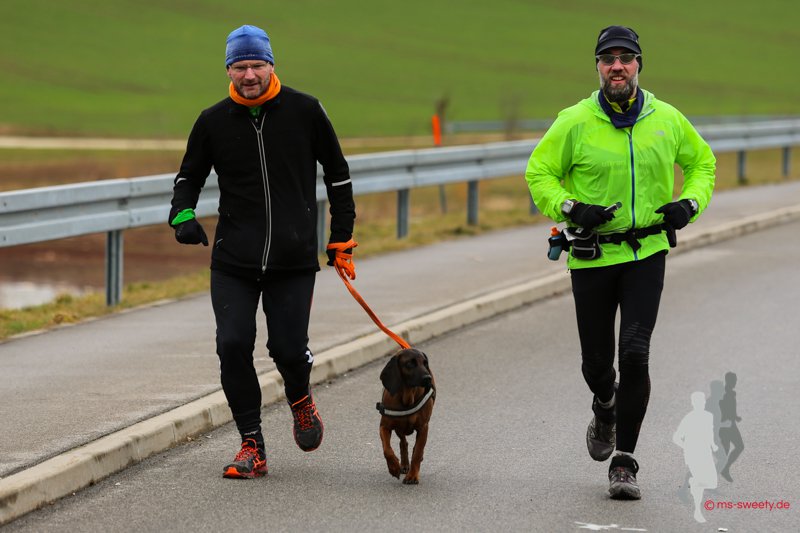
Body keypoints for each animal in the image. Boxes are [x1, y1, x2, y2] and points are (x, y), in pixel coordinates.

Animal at [376, 347, 436, 484]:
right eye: (410, 364)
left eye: (425, 363)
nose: (428, 378)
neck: (407, 397)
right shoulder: (384, 426)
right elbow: (387, 450)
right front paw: (394, 467)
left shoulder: (423, 427)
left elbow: (418, 452)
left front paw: (413, 475)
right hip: (399, 428)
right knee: (403, 442)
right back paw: (403, 464)